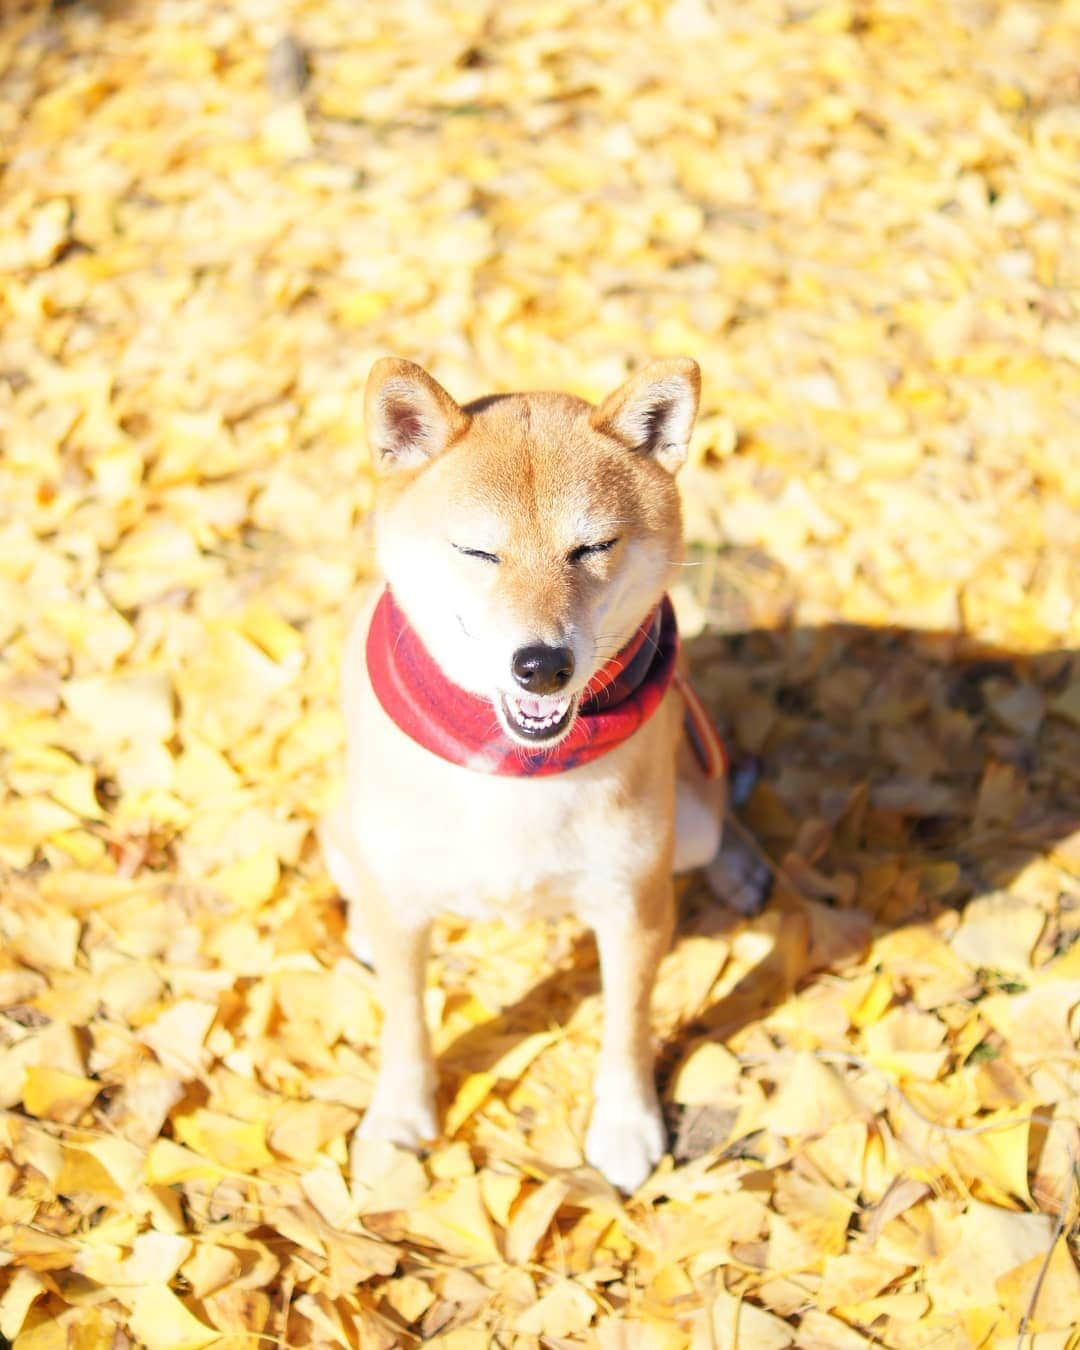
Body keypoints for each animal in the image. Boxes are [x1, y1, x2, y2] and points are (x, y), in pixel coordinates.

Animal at [321, 359, 766, 1193]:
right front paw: (398, 1120)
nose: (542, 665)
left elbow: (627, 1027)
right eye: (477, 553)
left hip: (688, 818)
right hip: (338, 831)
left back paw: (741, 867)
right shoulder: (405, 905)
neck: (515, 775)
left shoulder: (633, 909)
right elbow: (406, 1022)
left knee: (717, 814)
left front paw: (626, 1124)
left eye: (591, 547)